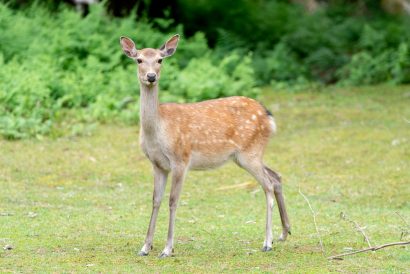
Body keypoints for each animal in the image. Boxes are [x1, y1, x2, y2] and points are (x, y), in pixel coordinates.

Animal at [119, 33, 292, 256]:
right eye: (139, 60)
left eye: (160, 60)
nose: (151, 76)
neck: (157, 130)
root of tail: (268, 116)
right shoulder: (157, 164)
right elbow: (155, 200)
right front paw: (145, 247)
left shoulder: (181, 159)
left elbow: (173, 201)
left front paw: (167, 249)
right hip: (247, 155)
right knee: (276, 176)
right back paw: (284, 232)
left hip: (250, 153)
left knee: (268, 185)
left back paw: (267, 242)